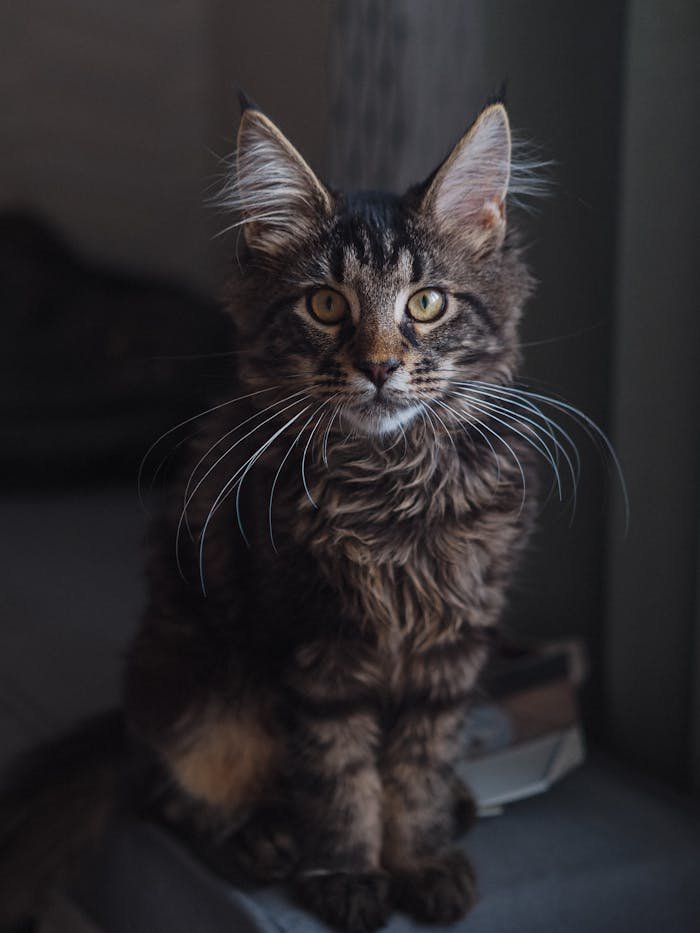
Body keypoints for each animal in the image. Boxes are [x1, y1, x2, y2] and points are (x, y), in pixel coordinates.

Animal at [0, 96, 572, 932]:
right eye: (326, 305)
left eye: (427, 303)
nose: (380, 366)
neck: (391, 491)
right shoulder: (316, 649)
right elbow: (341, 779)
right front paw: (348, 873)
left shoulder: (451, 651)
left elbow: (419, 769)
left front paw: (422, 858)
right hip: (198, 688)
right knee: (166, 788)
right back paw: (260, 835)